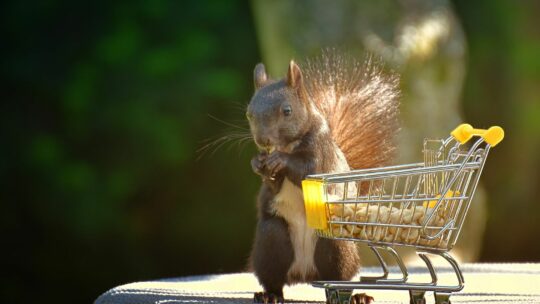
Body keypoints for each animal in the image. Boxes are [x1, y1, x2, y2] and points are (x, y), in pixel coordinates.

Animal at [247, 52, 398, 304]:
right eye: (249, 113)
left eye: (287, 111)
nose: (263, 141)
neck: (287, 146)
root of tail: (304, 273)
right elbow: (271, 185)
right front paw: (257, 163)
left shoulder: (322, 154)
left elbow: (308, 169)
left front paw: (280, 160)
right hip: (271, 241)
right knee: (274, 279)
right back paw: (269, 295)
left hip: (337, 244)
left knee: (339, 281)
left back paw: (355, 296)